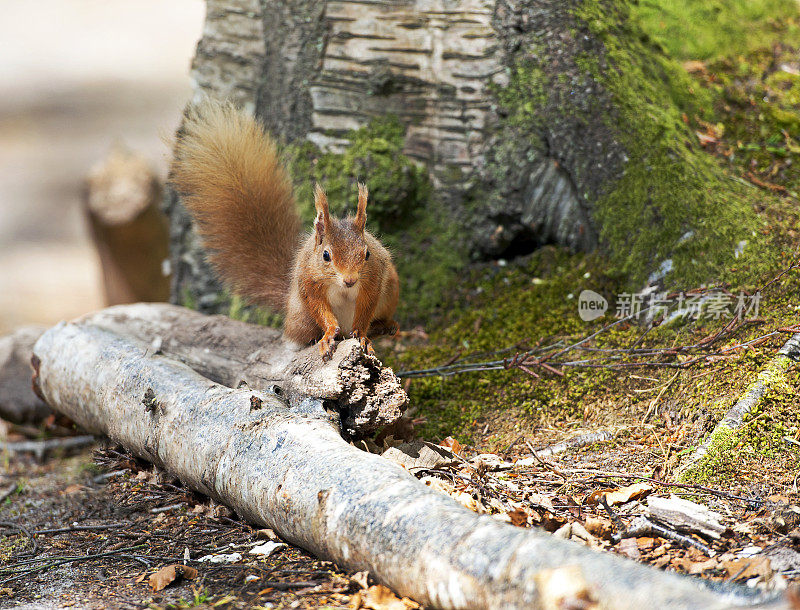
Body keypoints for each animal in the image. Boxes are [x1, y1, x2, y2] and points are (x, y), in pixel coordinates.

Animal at [173, 98, 400, 356]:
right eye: (325, 255)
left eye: (367, 254)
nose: (350, 280)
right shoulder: (308, 281)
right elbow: (319, 308)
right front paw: (328, 334)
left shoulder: (374, 279)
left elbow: (365, 312)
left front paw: (361, 335)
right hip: (300, 316)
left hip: (391, 289)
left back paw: (386, 325)